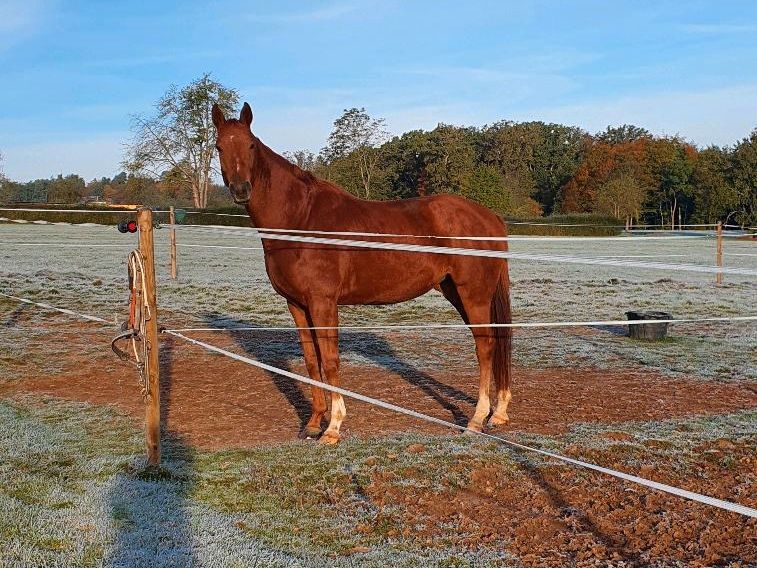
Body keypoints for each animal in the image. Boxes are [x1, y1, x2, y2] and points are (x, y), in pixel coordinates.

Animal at [210, 104, 510, 446]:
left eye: (250, 146)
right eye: (219, 147)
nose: (241, 190)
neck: (300, 219)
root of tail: (490, 216)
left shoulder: (323, 303)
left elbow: (330, 361)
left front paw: (333, 427)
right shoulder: (296, 305)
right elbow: (311, 361)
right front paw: (313, 423)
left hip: (473, 294)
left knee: (485, 347)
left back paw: (476, 420)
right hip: (455, 292)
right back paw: (499, 414)